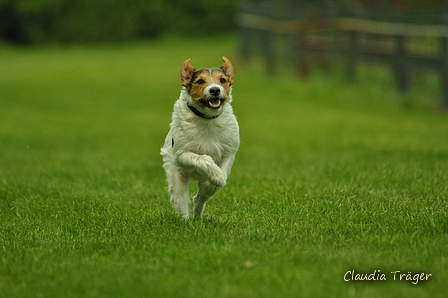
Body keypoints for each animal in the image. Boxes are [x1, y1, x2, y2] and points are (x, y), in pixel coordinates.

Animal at [160, 57, 240, 219]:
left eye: (222, 79)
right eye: (200, 81)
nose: (215, 90)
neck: (207, 119)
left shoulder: (229, 150)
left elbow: (216, 180)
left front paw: (217, 178)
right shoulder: (181, 154)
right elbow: (203, 158)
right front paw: (217, 175)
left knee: (200, 198)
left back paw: (197, 215)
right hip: (176, 176)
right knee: (181, 200)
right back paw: (186, 220)